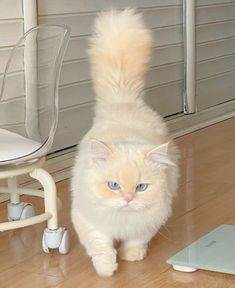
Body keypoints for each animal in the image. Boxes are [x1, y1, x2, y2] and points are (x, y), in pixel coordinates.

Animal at [70, 9, 179, 276]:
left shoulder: (149, 222)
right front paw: (107, 270)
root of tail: (123, 100)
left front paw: (133, 257)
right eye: (113, 185)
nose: (128, 199)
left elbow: (136, 240)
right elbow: (100, 247)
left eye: (141, 187)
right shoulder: (88, 220)